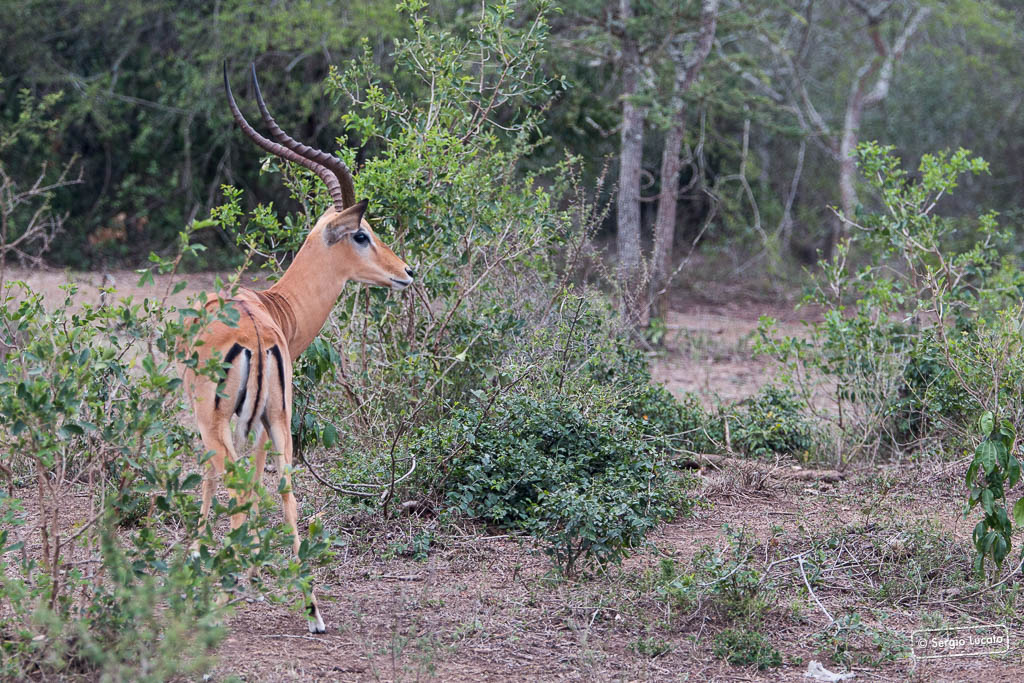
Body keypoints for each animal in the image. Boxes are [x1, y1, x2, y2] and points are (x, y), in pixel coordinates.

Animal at [182, 64, 414, 633]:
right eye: (362, 235)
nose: (407, 272)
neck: (273, 307)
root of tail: (257, 335)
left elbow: (209, 482)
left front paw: (203, 559)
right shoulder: (267, 425)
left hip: (224, 424)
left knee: (237, 485)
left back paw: (225, 591)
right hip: (278, 421)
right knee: (284, 488)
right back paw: (311, 610)